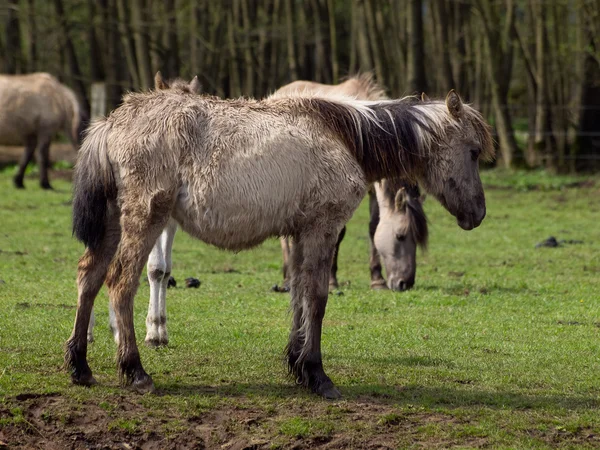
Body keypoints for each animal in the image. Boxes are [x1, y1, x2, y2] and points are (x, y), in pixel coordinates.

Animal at [270, 74, 428, 292]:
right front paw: (331, 281)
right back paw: (287, 278)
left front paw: (377, 279)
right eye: (400, 235)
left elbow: (373, 227)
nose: (405, 283)